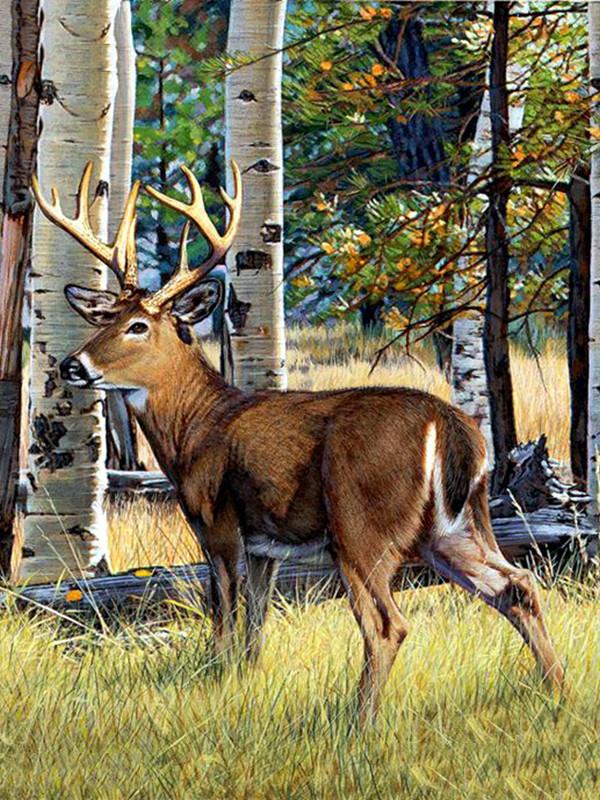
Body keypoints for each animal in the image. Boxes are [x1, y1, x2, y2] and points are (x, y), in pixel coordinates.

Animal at [32, 161, 564, 723]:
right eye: (103, 319)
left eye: (137, 326)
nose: (73, 365)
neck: (195, 428)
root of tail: (453, 428)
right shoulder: (266, 545)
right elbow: (255, 626)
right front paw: (246, 681)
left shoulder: (217, 521)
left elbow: (224, 618)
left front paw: (221, 682)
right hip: (456, 528)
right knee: (517, 587)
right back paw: (557, 692)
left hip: (361, 526)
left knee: (387, 625)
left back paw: (359, 722)